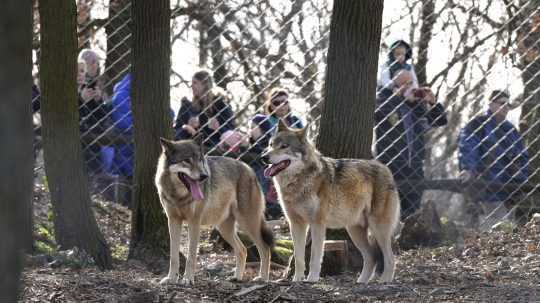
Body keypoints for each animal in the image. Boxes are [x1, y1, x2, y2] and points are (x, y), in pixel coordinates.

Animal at [264, 122, 398, 284]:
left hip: (378, 229)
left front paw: (312, 279)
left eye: (284, 146)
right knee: (371, 257)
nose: (264, 157)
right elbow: (298, 256)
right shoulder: (296, 224)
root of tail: (386, 168)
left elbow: (315, 256)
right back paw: (361, 282)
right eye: (270, 145)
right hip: (354, 231)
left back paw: (385, 280)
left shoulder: (317, 224)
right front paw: (296, 280)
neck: (299, 182)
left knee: (390, 258)